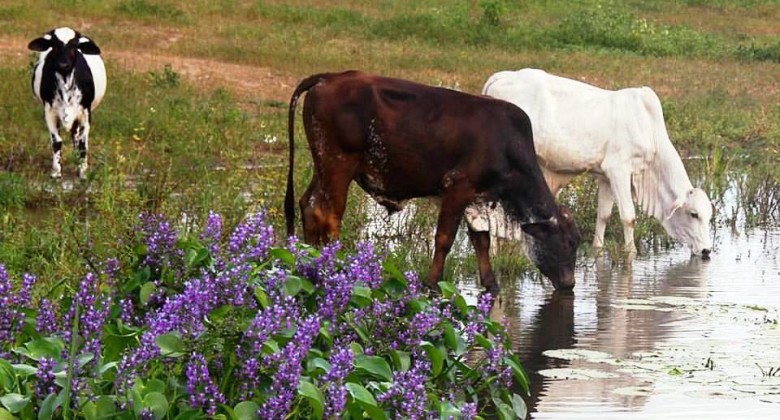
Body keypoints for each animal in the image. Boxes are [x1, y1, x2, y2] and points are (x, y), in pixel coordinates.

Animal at [28, 27, 106, 179]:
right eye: (54, 45)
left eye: (74, 45)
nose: (63, 64)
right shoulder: (49, 112)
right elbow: (56, 141)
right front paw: (56, 172)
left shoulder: (86, 112)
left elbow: (82, 143)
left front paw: (83, 171)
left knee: (76, 136)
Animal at [284, 70, 580, 292]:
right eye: (569, 243)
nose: (570, 284)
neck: (507, 145)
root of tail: (329, 77)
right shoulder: (458, 188)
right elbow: (445, 239)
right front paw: (432, 283)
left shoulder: (478, 201)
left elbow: (481, 241)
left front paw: (491, 284)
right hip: (339, 165)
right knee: (330, 214)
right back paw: (337, 261)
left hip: (323, 164)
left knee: (309, 204)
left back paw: (311, 254)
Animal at [476, 68, 712, 256]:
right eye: (694, 214)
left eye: (709, 216)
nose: (707, 250)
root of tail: (502, 76)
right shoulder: (618, 170)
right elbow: (628, 217)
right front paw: (631, 253)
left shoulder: (605, 177)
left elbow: (604, 215)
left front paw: (598, 248)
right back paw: (494, 252)